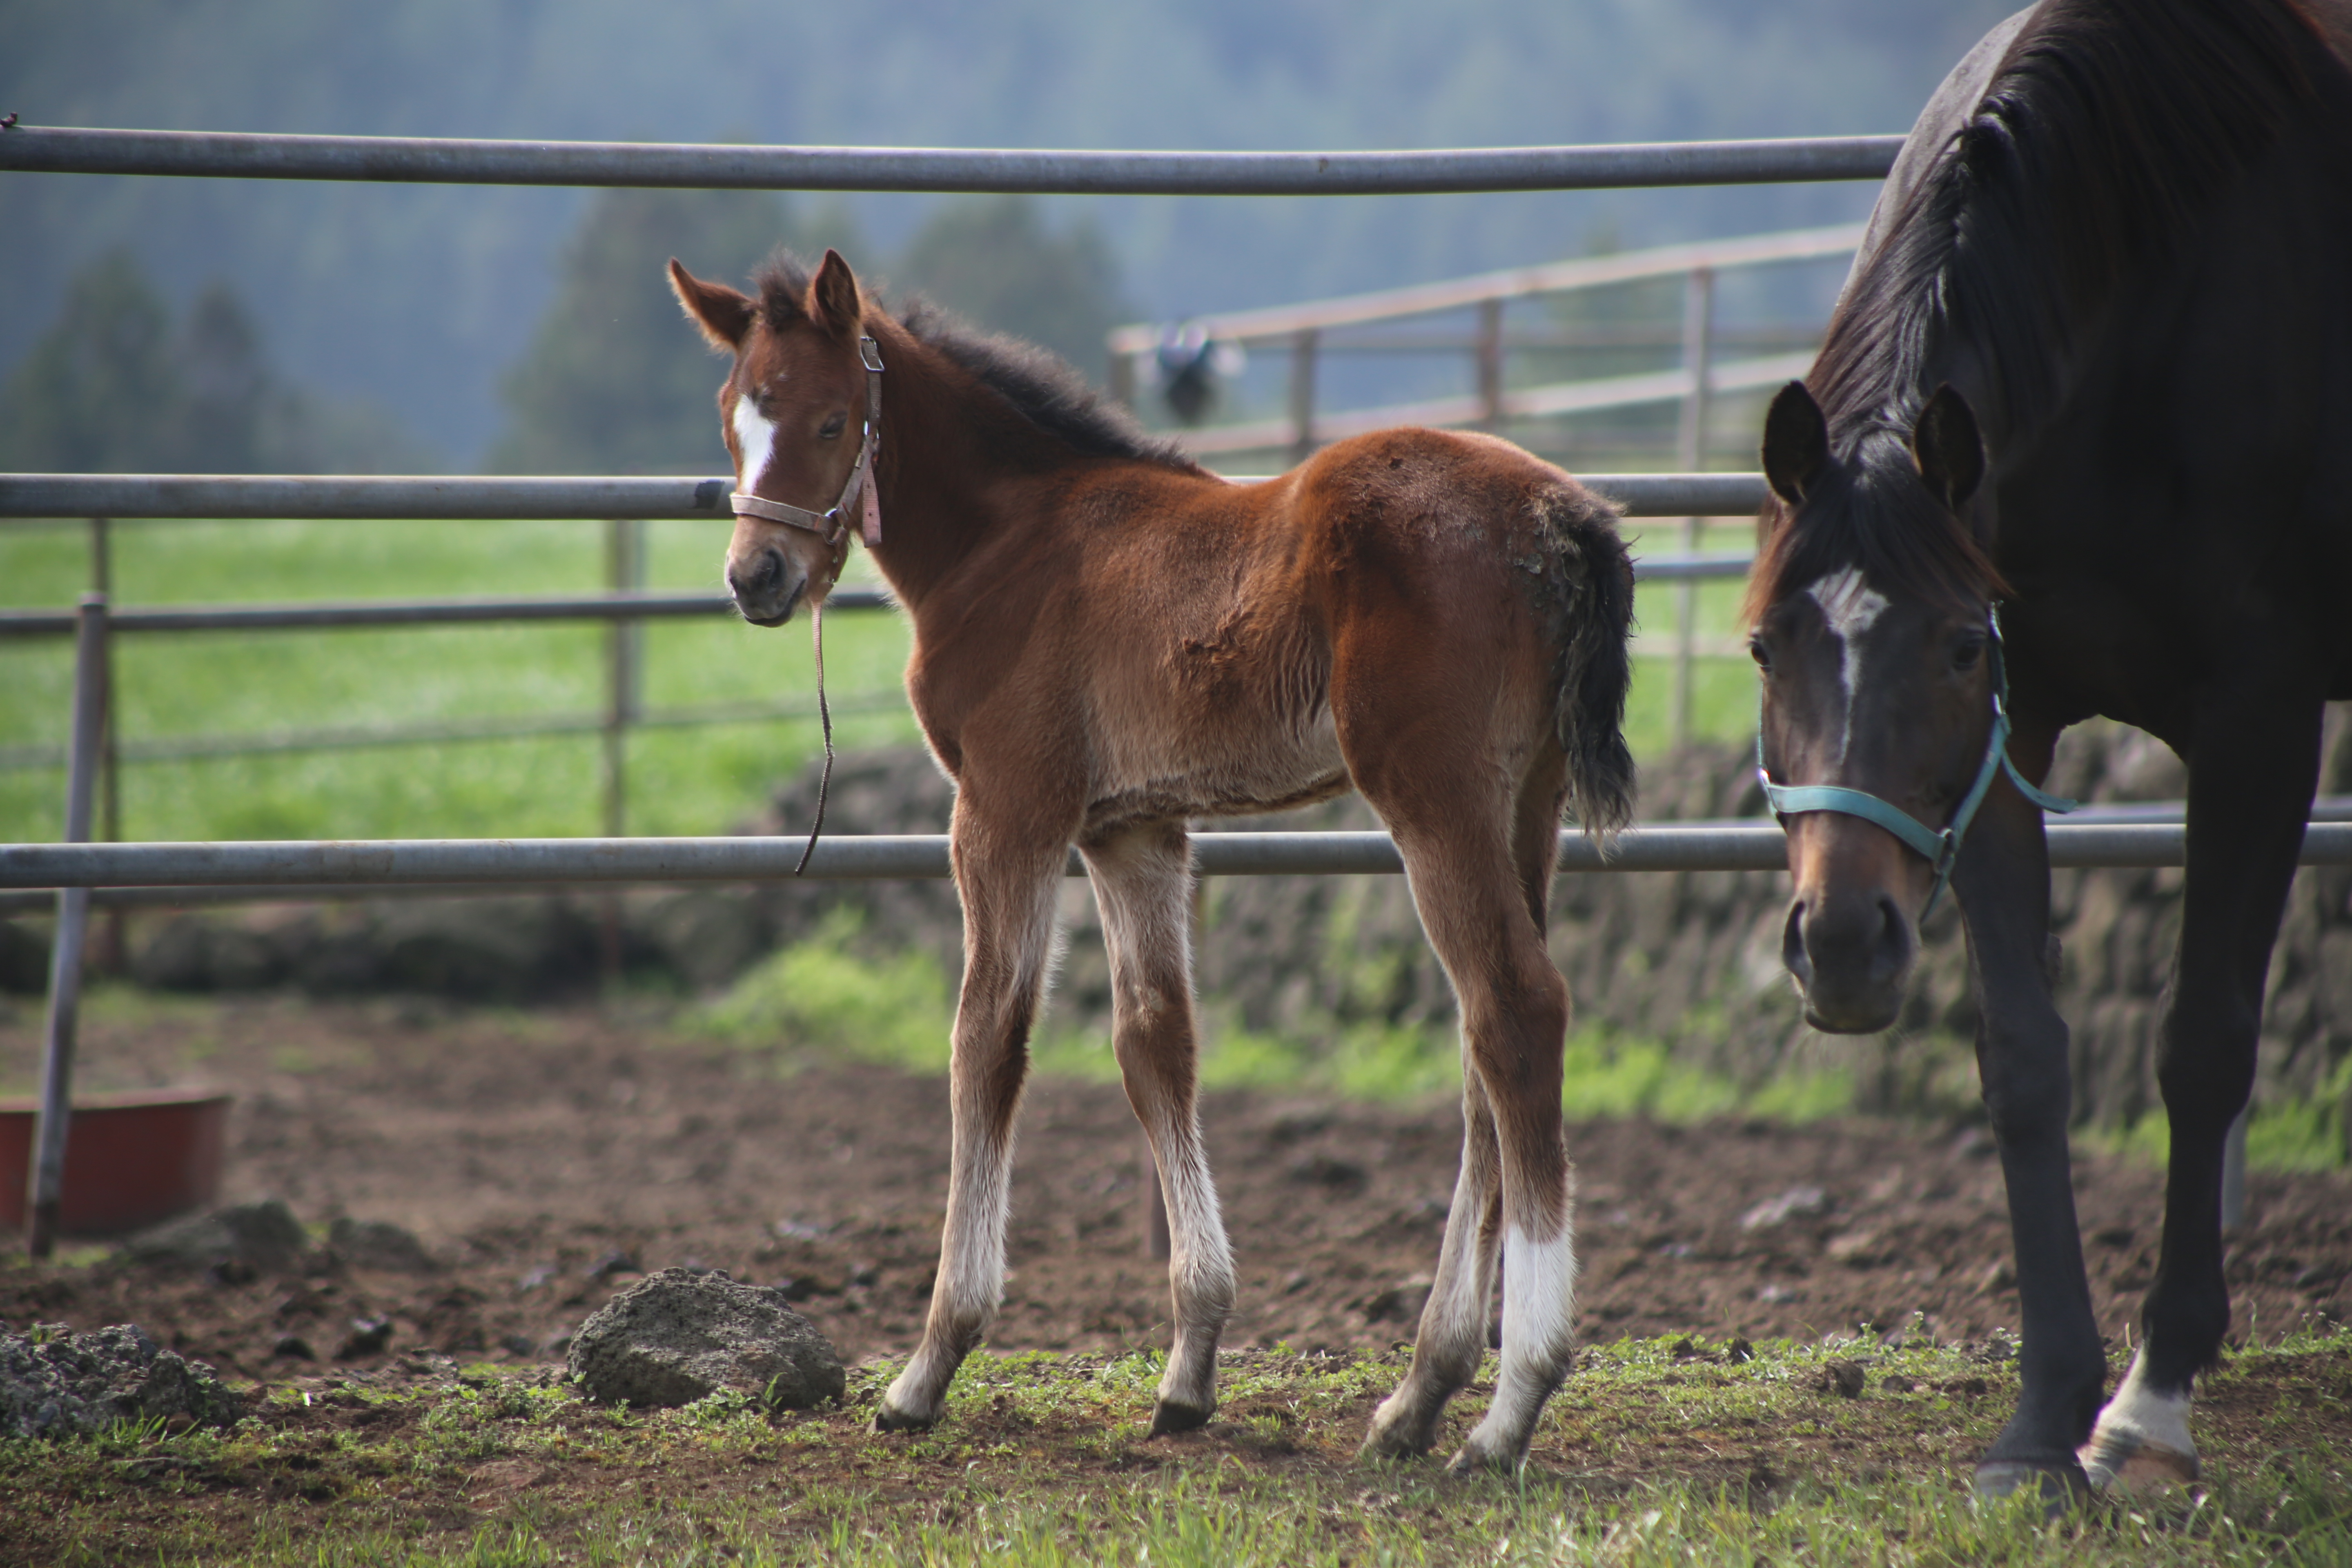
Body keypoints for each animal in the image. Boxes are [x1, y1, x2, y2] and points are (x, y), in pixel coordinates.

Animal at [668, 248, 1637, 1476]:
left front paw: (929, 1365)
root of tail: (1559, 513)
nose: (756, 577)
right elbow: (1155, 1044)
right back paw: (1418, 1394)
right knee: (1484, 1051)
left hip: (1436, 796)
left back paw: (1510, 1406)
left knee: (1513, 1011)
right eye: (731, 416)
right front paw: (1188, 1369)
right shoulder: (1131, 829)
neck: (1009, 542)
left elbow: (986, 1042)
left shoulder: (1007, 809)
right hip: (1528, 804)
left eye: (833, 418)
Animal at [1750, 0, 2352, 1504]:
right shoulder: (2002, 754)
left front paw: (2152, 1392)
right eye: (1766, 648)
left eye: (1957, 646)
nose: (1840, 945)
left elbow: (2204, 1042)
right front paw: (2041, 1421)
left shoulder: (2260, 718)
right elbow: (2023, 1058)